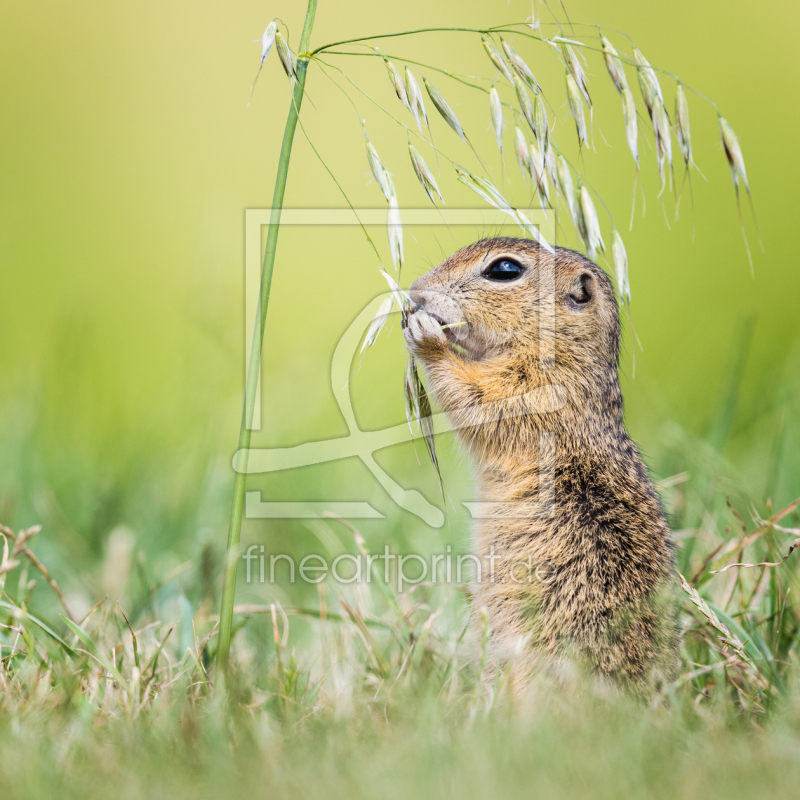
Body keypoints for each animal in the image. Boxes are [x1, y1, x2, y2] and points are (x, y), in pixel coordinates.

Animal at [406, 239, 676, 700]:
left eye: (505, 269)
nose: (415, 291)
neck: (565, 353)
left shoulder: (528, 393)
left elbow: (473, 396)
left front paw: (425, 334)